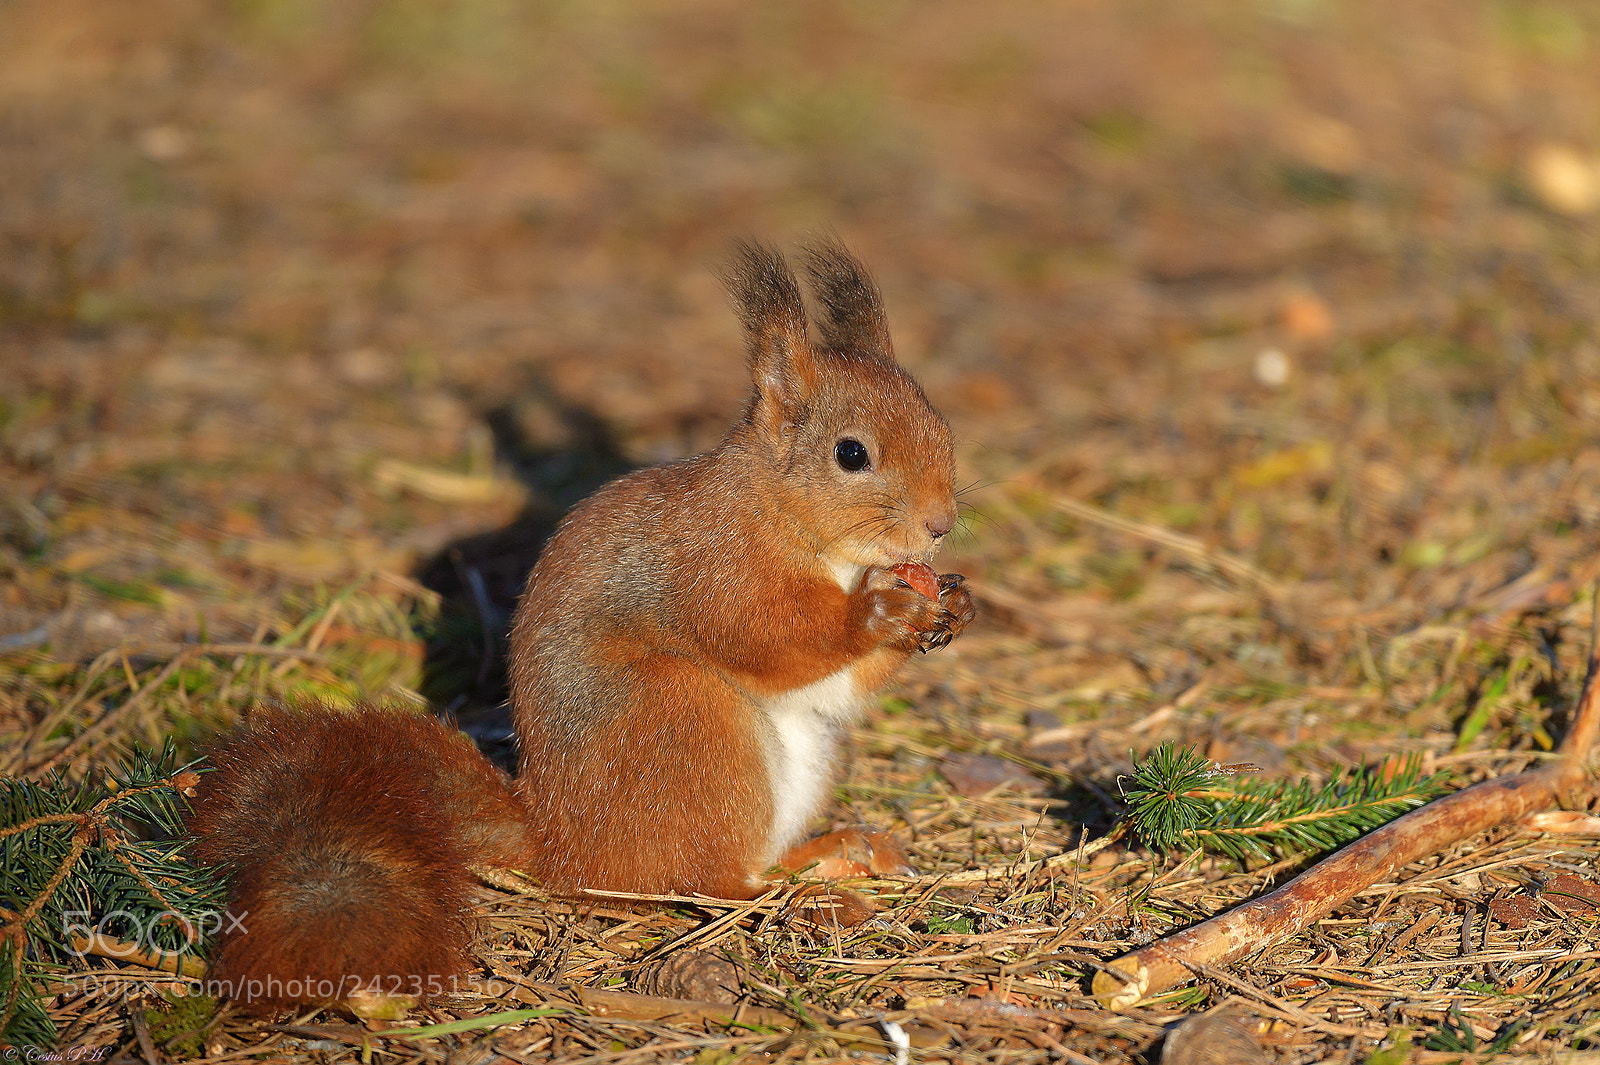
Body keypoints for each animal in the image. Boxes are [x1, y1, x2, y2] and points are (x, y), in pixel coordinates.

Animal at [188, 239, 975, 1007]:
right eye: (852, 453)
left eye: (942, 426)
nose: (940, 526)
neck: (786, 514)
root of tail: (557, 842)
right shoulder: (716, 567)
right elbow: (772, 639)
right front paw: (880, 611)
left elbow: (837, 684)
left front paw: (952, 607)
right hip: (685, 725)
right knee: (708, 884)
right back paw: (805, 898)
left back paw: (836, 853)